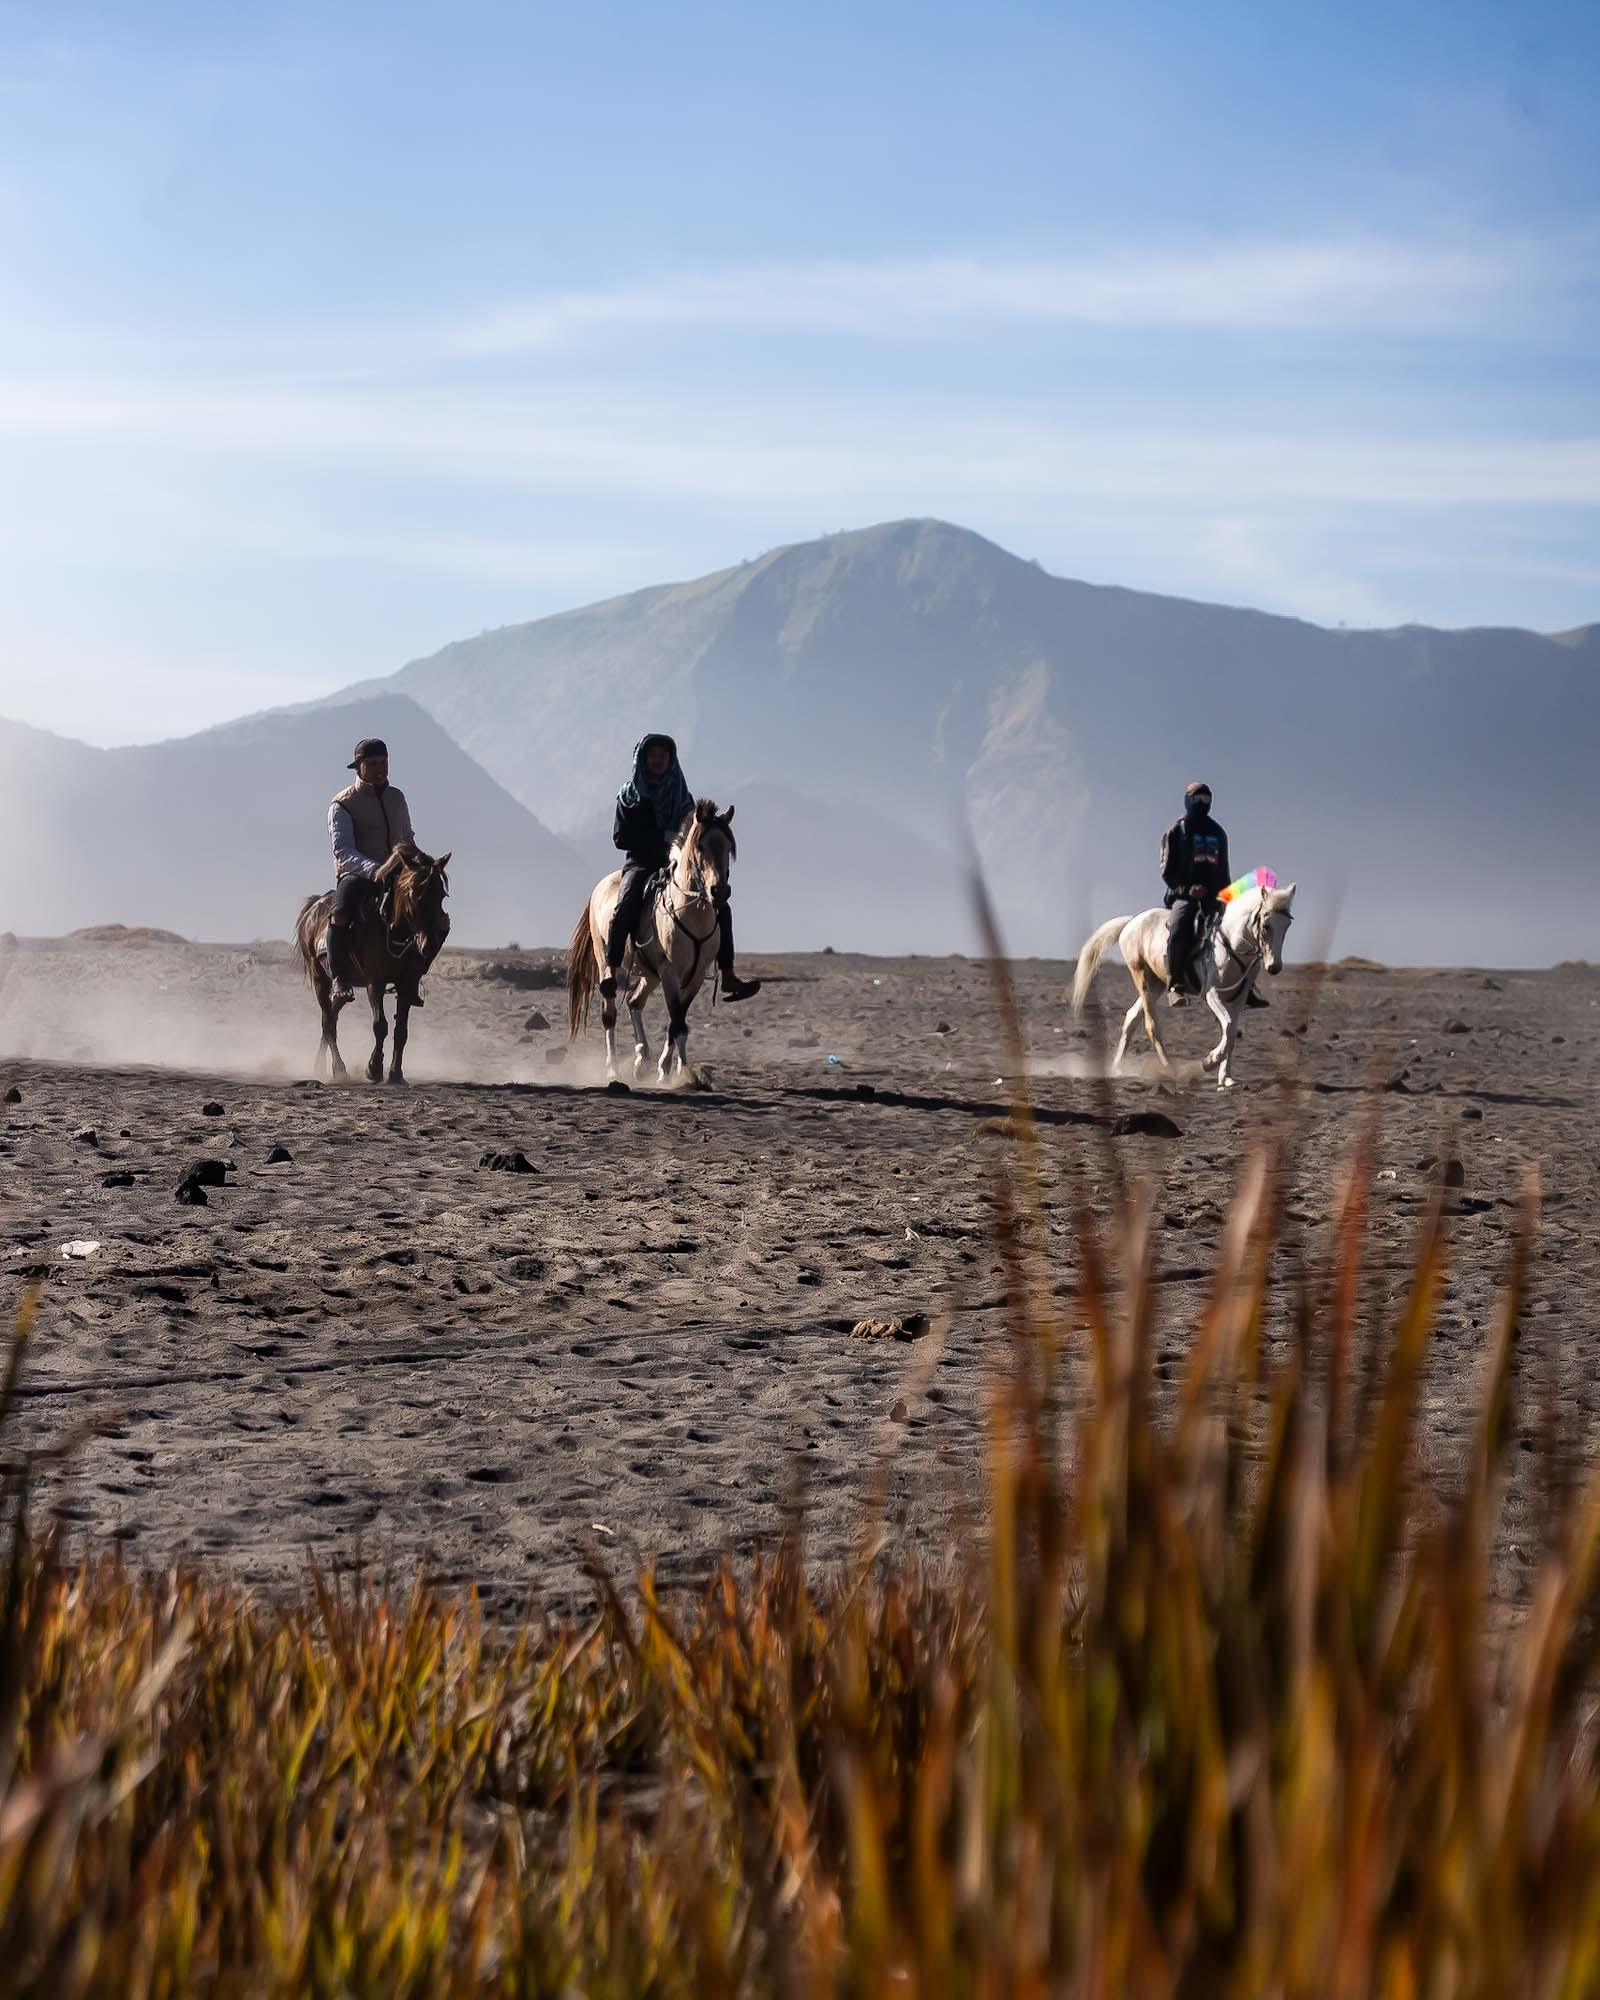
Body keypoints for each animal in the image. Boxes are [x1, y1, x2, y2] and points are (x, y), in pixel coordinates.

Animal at [294, 844, 452, 1085]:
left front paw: (396, 1074)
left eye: (441, 894)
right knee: (328, 1024)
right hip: (319, 977)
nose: (428, 944)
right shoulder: (374, 983)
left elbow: (401, 1030)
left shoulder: (406, 985)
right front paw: (374, 1069)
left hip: (344, 985)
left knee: (331, 1016)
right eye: (414, 893)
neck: (392, 927)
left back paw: (320, 1066)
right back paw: (339, 1070)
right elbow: (380, 1026)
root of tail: (313, 908)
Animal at [566, 799, 736, 1084]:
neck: (690, 913)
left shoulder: (696, 975)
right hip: (607, 962)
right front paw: (676, 1073)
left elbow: (678, 1021)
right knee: (609, 1010)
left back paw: (641, 1058)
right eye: (700, 846)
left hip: (650, 973)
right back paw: (613, 1068)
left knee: (634, 1002)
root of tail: (599, 887)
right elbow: (676, 1022)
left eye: (728, 847)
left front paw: (673, 1068)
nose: (719, 891)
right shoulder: (670, 973)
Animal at [1071, 881, 1296, 1089]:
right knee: (1151, 1025)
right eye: (1266, 924)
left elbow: (1231, 1032)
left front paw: (1226, 1078)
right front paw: (1209, 1062)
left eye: (1287, 925)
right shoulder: (1212, 994)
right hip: (1142, 978)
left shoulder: (1239, 997)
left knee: (1132, 1017)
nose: (1274, 966)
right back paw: (1171, 1070)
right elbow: (1229, 1027)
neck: (1231, 943)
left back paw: (1116, 1068)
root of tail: (1131, 922)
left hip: (1156, 984)